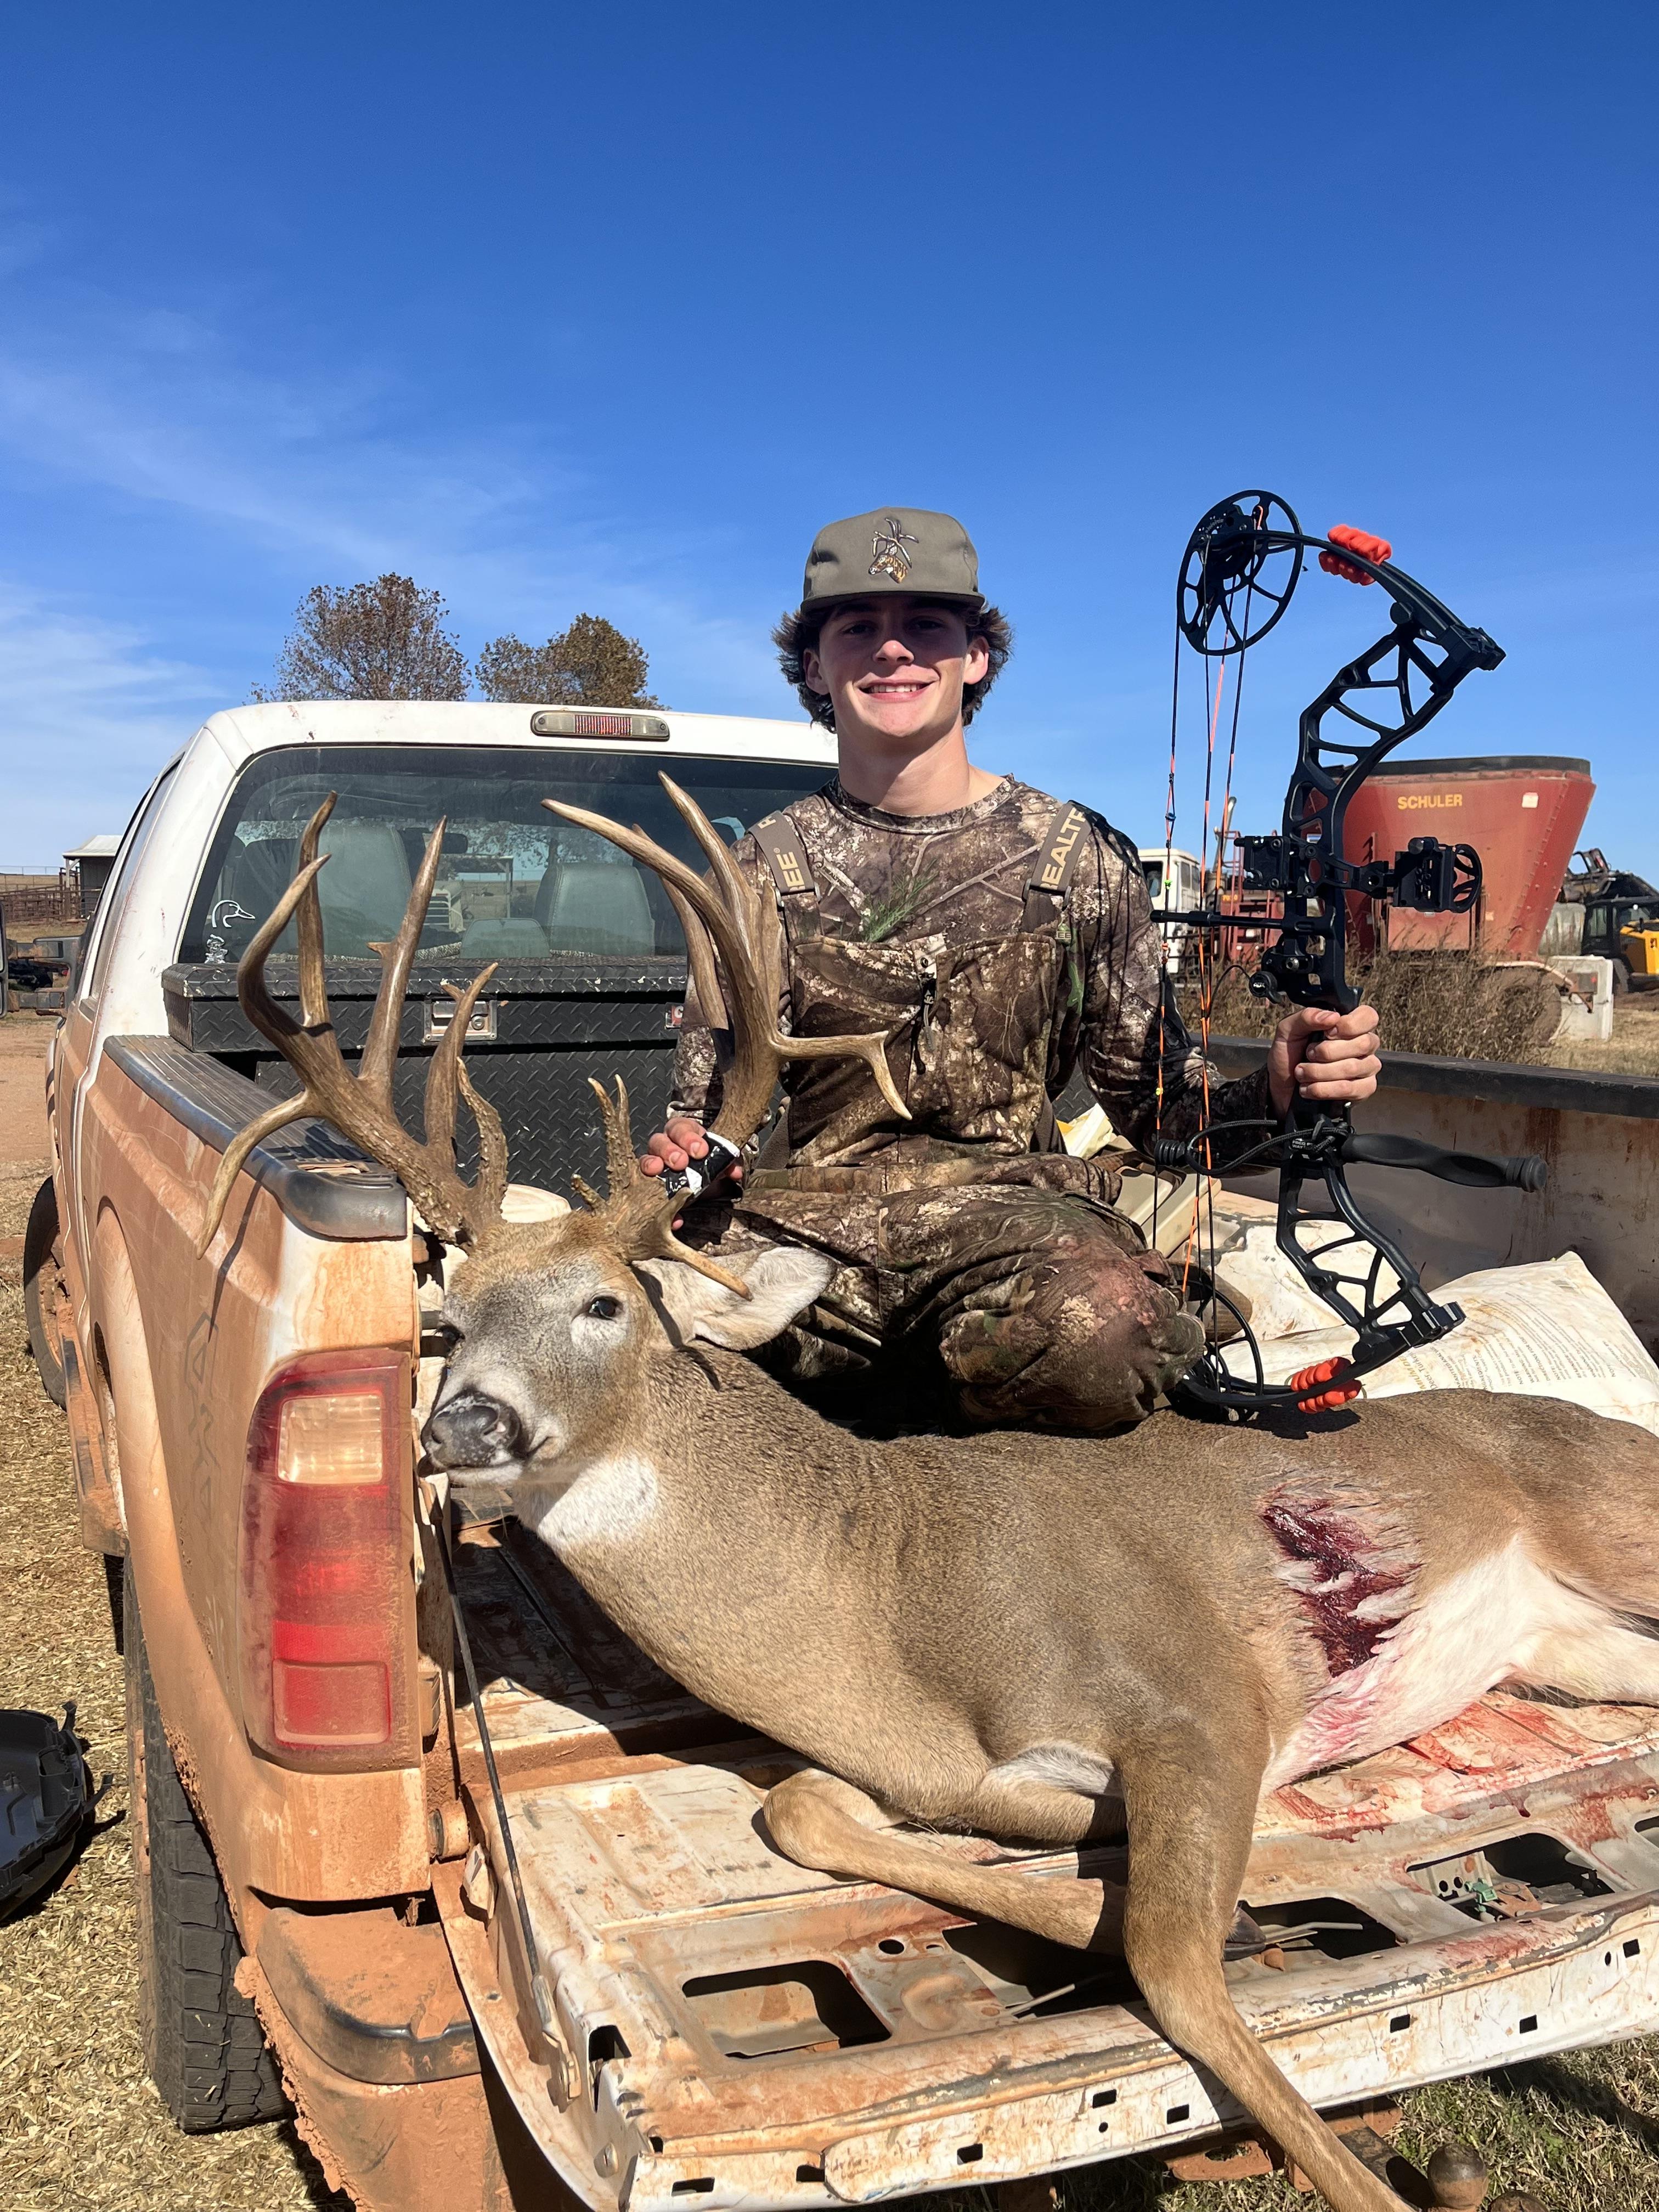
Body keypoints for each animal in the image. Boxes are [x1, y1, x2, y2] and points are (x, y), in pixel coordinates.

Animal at [200, 781, 1659, 2212]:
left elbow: (1177, 1967)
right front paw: (1118, 1879)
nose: (463, 1424)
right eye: (445, 1322)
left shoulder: (1196, 1693)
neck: (893, 1602)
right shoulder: (922, 1762)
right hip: (1578, 1658)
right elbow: (806, 1808)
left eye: (604, 1304)